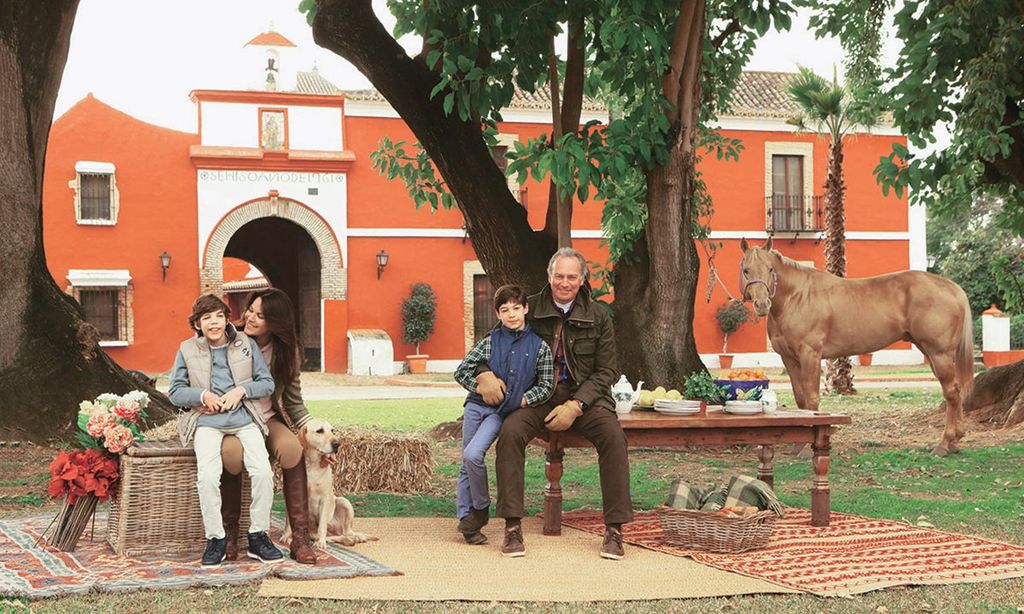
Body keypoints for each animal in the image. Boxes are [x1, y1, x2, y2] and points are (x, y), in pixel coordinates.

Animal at [280, 419, 376, 548]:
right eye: (319, 431)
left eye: (332, 430)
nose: (337, 444)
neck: (312, 465)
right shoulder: (290, 494)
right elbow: (289, 522)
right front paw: (287, 536)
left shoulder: (324, 498)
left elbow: (322, 526)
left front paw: (320, 543)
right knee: (337, 536)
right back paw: (349, 540)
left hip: (343, 502)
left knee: (346, 531)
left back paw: (356, 537)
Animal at [741, 238, 970, 456]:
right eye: (746, 269)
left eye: (770, 269)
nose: (762, 304)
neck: (797, 297)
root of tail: (950, 287)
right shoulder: (789, 359)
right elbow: (800, 399)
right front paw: (798, 444)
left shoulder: (810, 355)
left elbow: (811, 399)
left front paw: (805, 447)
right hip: (930, 353)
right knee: (956, 391)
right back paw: (955, 441)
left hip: (939, 354)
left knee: (951, 393)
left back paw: (944, 444)